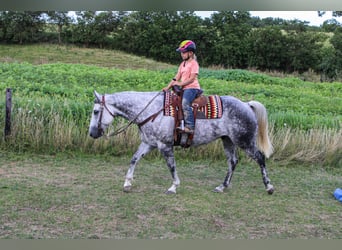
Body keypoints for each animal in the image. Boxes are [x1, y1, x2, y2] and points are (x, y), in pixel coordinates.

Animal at [89, 90, 276, 195]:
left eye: (96, 111)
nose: (92, 133)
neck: (152, 111)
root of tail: (246, 104)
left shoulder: (164, 145)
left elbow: (171, 166)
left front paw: (173, 187)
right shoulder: (149, 143)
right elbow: (134, 159)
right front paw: (127, 183)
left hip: (245, 141)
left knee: (260, 158)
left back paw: (269, 187)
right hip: (228, 140)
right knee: (233, 162)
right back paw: (222, 187)